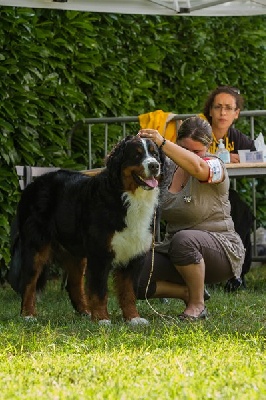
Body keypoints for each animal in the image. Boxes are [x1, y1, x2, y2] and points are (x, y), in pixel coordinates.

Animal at [8, 136, 164, 324]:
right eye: (137, 155)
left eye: (155, 154)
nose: (154, 165)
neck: (129, 198)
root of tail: (32, 184)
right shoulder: (100, 253)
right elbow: (99, 290)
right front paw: (102, 319)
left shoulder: (135, 253)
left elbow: (128, 292)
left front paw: (133, 318)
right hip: (36, 246)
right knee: (29, 282)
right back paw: (28, 314)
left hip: (75, 252)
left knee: (73, 285)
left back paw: (85, 312)